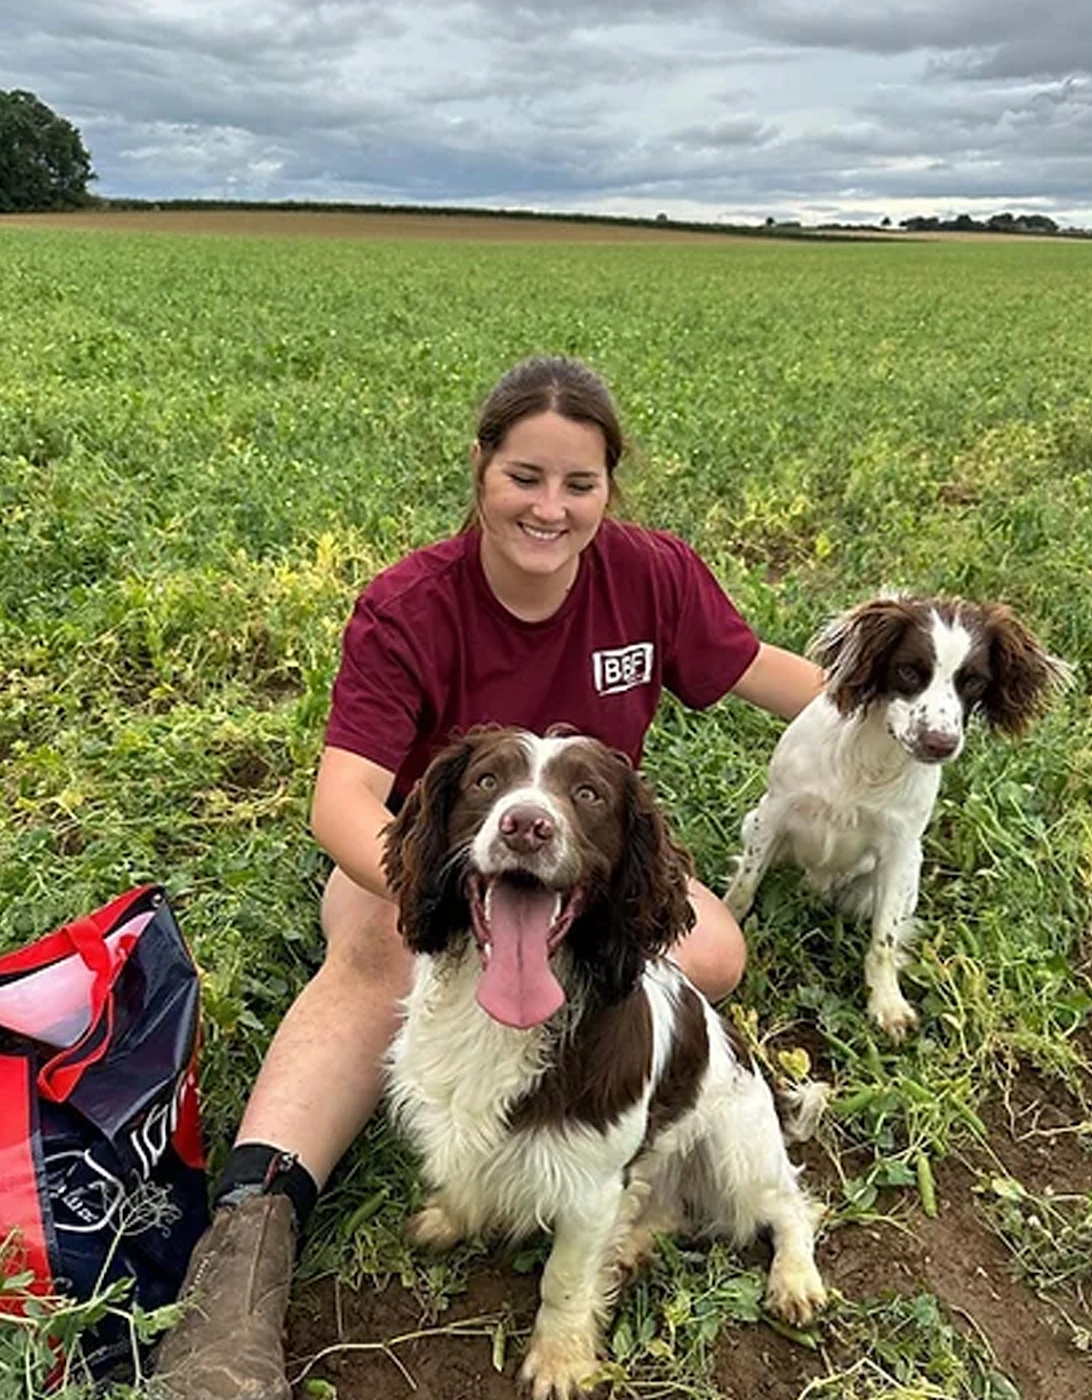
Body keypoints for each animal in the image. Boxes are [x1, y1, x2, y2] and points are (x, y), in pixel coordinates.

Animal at [386, 733, 828, 1400]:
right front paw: (451, 1216)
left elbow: (565, 1278)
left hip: (739, 1150)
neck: (504, 1021)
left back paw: (796, 1278)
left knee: (791, 1205)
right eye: (487, 781)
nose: (526, 826)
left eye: (588, 794)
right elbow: (467, 1174)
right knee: (666, 1206)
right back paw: (632, 1243)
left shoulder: (589, 1182)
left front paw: (561, 1362)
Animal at [722, 590, 1064, 1041]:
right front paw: (726, 917)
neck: (872, 757)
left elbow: (882, 941)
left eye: (973, 681)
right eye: (907, 670)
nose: (940, 744)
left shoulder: (901, 849)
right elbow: (743, 888)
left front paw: (886, 1004)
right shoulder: (775, 812)